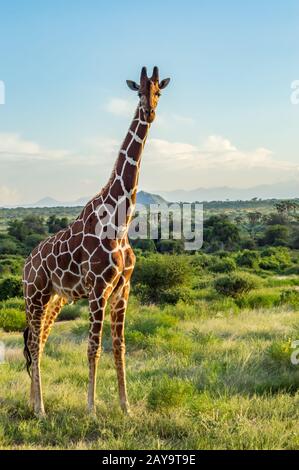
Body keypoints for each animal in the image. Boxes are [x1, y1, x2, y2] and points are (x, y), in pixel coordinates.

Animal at [23, 65, 171, 414]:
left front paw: (126, 407)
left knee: (40, 341)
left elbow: (119, 347)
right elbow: (93, 348)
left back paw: (36, 404)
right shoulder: (98, 289)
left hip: (54, 298)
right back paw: (40, 410)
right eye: (138, 90)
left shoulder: (122, 289)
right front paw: (91, 408)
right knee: (33, 344)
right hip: (34, 295)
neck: (120, 221)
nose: (149, 111)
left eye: (159, 90)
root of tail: (26, 263)